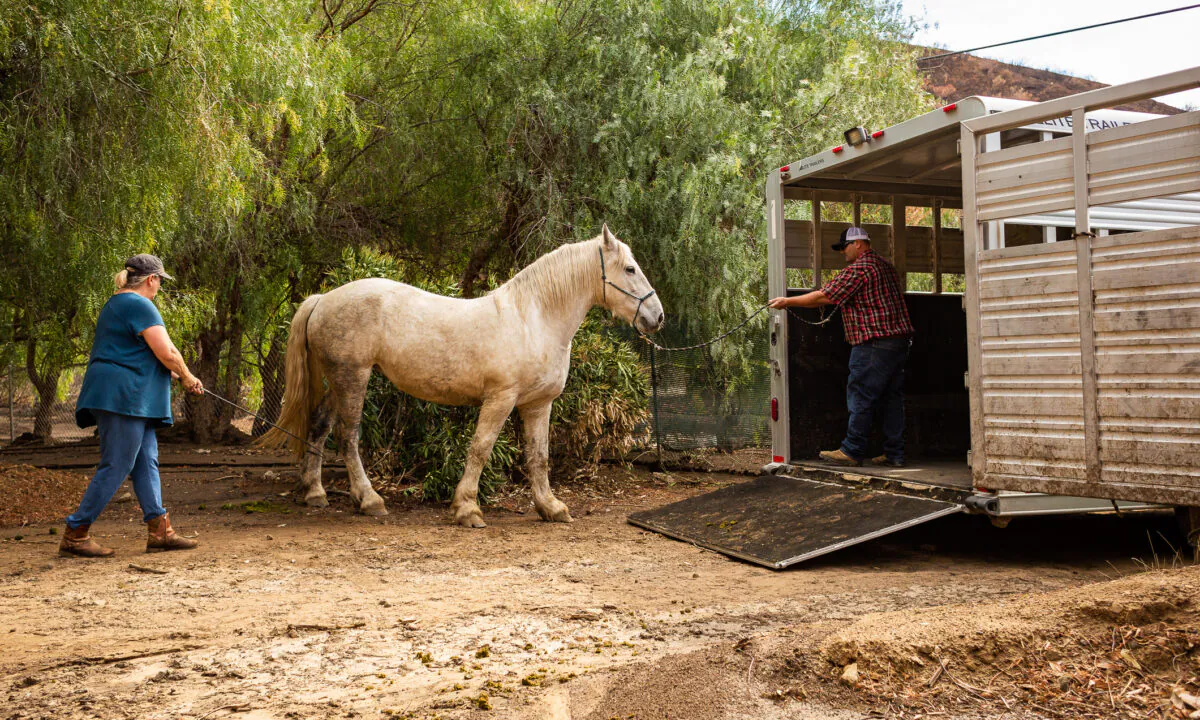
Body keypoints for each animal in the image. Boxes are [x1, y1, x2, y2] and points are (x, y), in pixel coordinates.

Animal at [266, 226, 664, 527]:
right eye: (630, 269)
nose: (657, 316)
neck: (532, 319)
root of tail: (323, 298)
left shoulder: (538, 404)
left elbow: (538, 456)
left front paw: (550, 507)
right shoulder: (500, 399)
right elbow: (481, 448)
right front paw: (467, 508)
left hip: (339, 380)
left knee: (320, 426)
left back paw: (315, 492)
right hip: (353, 377)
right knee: (348, 438)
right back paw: (369, 499)